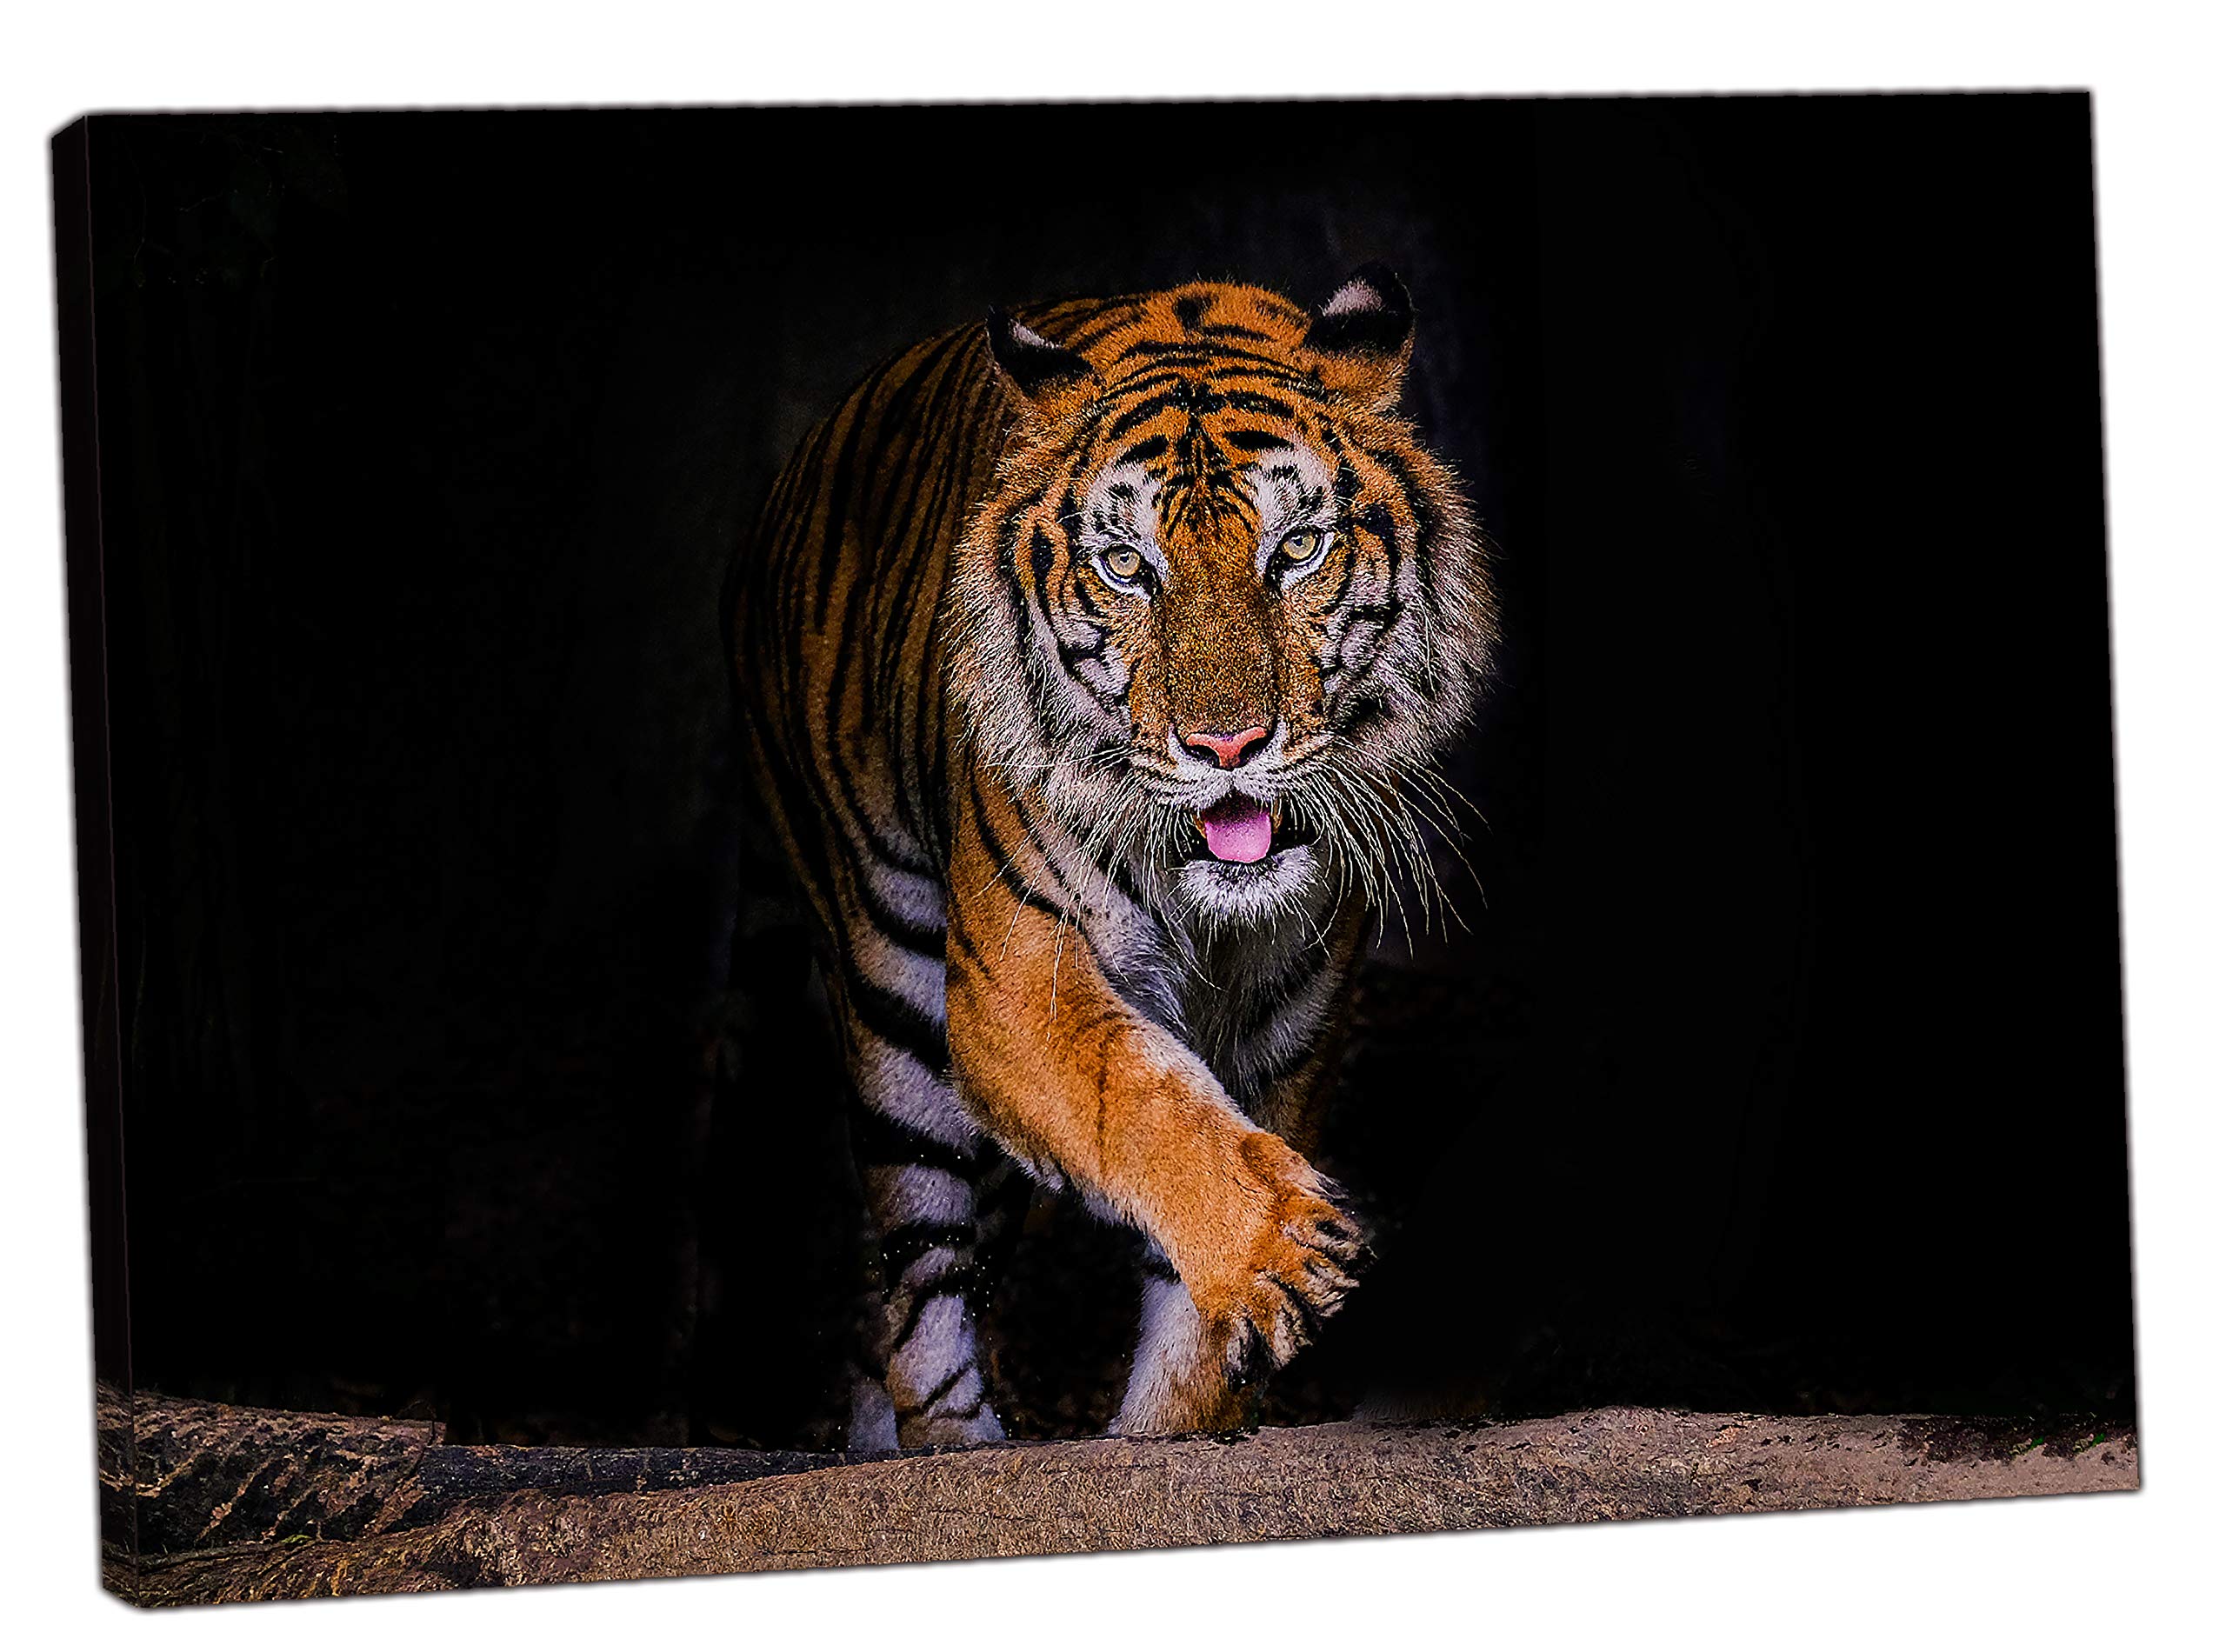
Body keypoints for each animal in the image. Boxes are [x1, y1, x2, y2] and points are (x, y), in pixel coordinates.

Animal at [728, 265, 1496, 1448]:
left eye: (1296, 551)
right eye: (1128, 567)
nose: (1226, 745)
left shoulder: (1287, 1024)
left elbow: (1191, 1285)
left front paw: (1175, 1417)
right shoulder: (1015, 986)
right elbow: (1145, 1103)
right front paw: (1286, 1251)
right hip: (894, 993)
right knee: (918, 1279)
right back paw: (953, 1446)